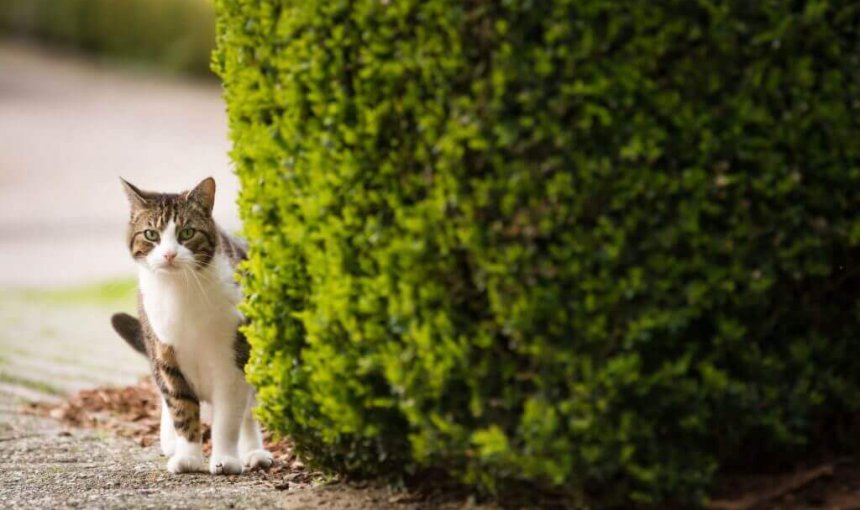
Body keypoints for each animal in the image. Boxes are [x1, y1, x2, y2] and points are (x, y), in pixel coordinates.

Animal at [109, 177, 272, 476]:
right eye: (151, 234)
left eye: (187, 233)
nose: (169, 254)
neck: (180, 290)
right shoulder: (165, 355)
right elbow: (181, 408)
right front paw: (188, 456)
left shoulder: (233, 360)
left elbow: (228, 418)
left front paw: (225, 458)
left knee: (248, 413)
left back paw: (253, 452)